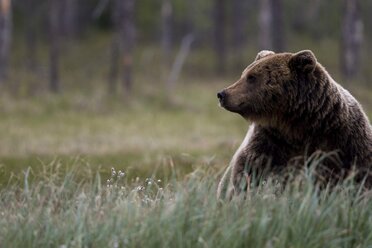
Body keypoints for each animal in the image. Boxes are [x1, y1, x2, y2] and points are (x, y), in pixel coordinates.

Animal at [217, 50, 372, 200]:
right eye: (244, 74)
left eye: (252, 77)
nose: (222, 94)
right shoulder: (270, 142)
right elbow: (252, 170)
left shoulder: (344, 142)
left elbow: (358, 177)